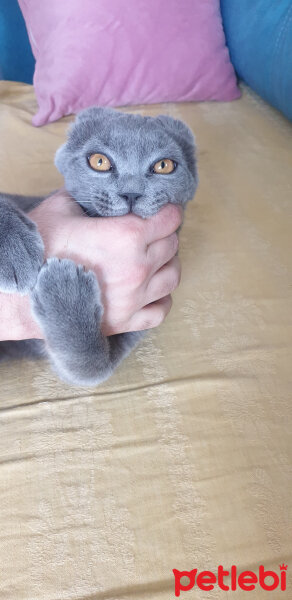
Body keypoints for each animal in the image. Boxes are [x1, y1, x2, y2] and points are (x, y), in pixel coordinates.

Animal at [0, 107, 198, 384]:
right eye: (99, 161)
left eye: (164, 165)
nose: (131, 193)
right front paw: (16, 254)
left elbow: (92, 369)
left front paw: (65, 290)